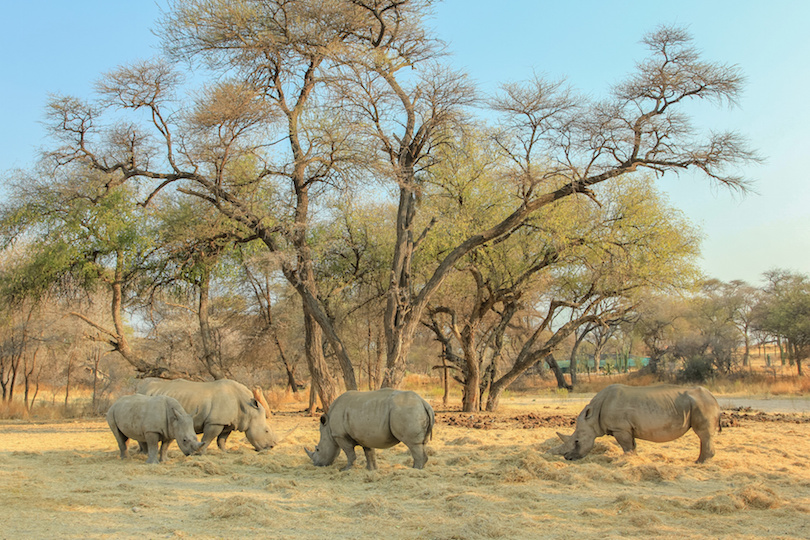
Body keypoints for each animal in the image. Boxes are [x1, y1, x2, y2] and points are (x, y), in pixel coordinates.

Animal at [137, 378, 280, 454]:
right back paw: (143, 453)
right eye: (266, 431)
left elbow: (222, 439)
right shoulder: (215, 422)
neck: (248, 410)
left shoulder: (228, 422)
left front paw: (225, 452)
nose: (272, 446)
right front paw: (201, 453)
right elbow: (209, 437)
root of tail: (141, 388)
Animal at [306, 388, 436, 472]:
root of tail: (423, 402)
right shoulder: (365, 436)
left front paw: (346, 470)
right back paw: (417, 468)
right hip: (415, 409)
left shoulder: (340, 435)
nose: (316, 464)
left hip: (408, 410)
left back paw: (414, 470)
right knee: (422, 443)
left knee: (413, 444)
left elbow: (350, 453)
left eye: (317, 449)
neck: (328, 430)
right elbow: (369, 453)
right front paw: (371, 469)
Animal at [548, 384, 720, 464]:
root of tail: (714, 398)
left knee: (703, 434)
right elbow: (632, 445)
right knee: (704, 436)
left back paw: (699, 462)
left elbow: (626, 446)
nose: (568, 458)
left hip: (702, 404)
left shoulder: (620, 428)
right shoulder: (627, 428)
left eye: (577, 441)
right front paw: (634, 459)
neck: (593, 415)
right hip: (700, 403)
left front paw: (627, 459)